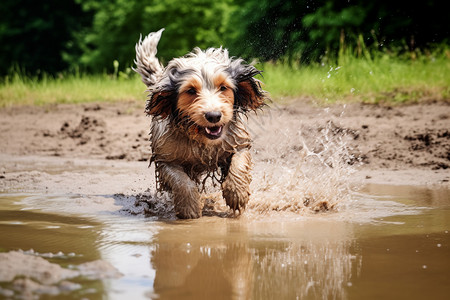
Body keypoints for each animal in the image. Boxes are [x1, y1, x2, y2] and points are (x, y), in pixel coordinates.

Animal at [133, 29, 268, 218]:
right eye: (190, 90)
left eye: (223, 87)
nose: (214, 116)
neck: (202, 140)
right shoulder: (166, 158)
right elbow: (181, 181)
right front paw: (189, 208)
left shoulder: (238, 142)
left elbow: (239, 163)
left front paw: (237, 194)